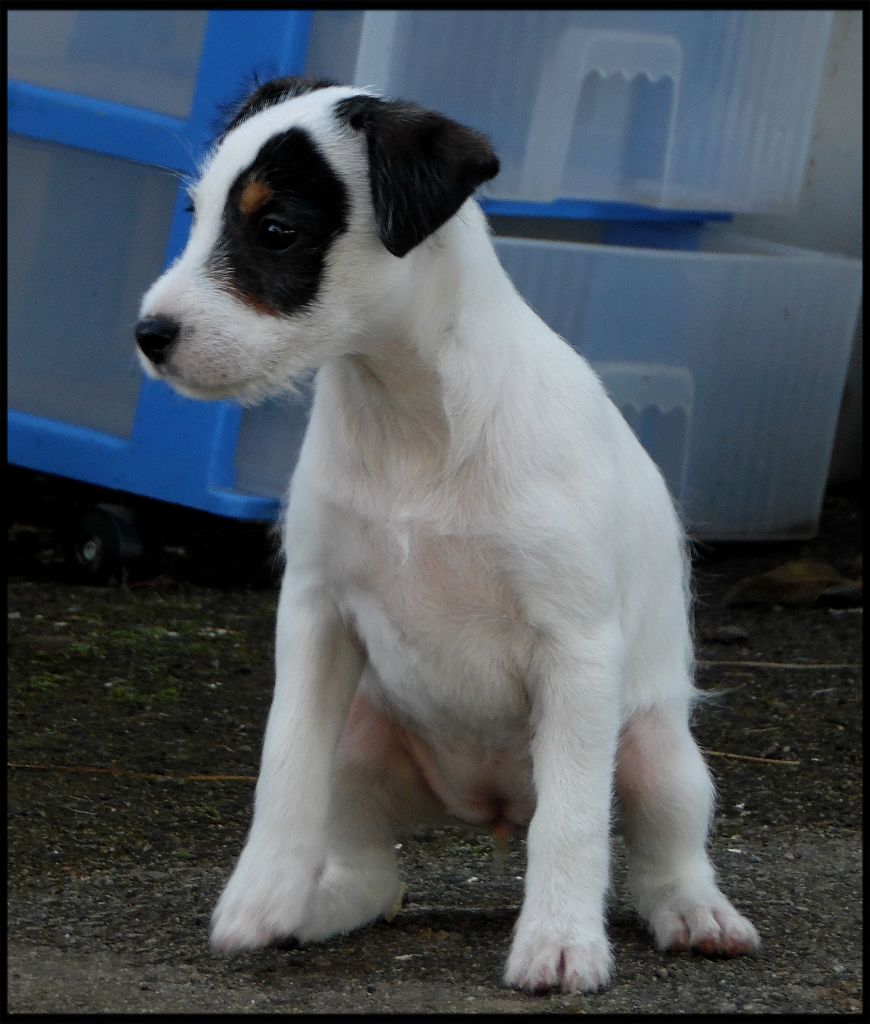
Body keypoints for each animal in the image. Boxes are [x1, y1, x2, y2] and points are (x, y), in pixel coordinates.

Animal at [137, 77, 761, 991]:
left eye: (276, 229)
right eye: (197, 212)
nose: (149, 335)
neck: (412, 423)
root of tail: (491, 805)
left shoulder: (577, 648)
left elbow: (574, 820)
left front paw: (559, 941)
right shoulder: (315, 620)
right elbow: (284, 768)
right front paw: (259, 896)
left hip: (657, 752)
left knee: (659, 856)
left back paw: (696, 912)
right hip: (362, 738)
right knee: (371, 872)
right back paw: (314, 906)